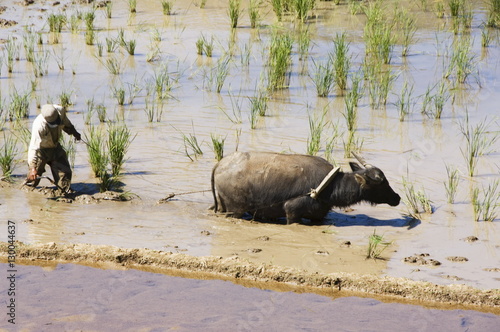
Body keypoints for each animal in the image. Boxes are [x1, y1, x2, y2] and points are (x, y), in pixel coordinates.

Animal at [210, 152, 398, 224]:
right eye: (382, 183)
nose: (397, 198)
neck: (331, 186)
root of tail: (219, 164)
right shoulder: (291, 211)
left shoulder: (319, 216)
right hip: (235, 210)